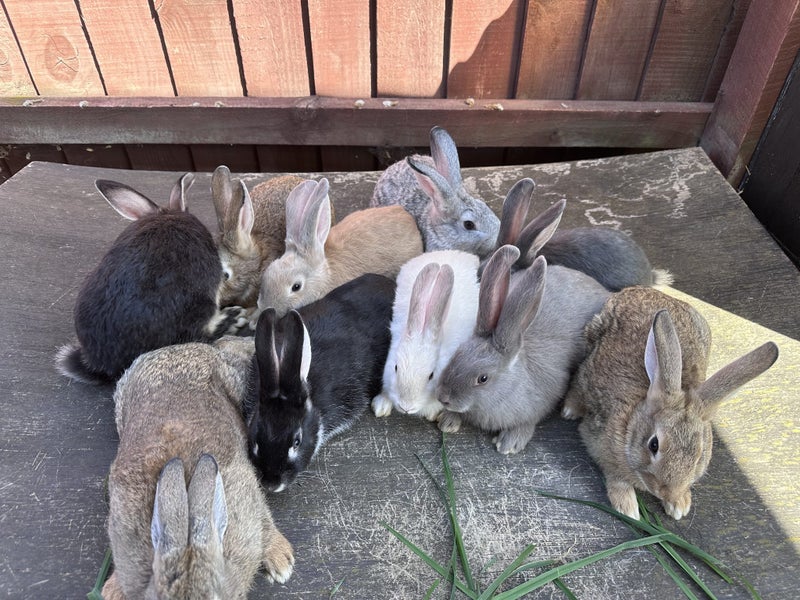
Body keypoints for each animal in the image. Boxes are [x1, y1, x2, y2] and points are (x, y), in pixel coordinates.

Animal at [102, 337, 294, 600]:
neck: (188, 540)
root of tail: (178, 348)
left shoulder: (247, 493)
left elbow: (264, 517)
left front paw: (281, 561)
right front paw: (112, 590)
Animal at [371, 250, 480, 422]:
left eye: (431, 375)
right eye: (396, 367)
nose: (406, 407)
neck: (423, 329)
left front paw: (432, 413)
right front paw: (382, 406)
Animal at [436, 245, 611, 455]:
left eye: (483, 378)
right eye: (456, 354)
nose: (443, 397)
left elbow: (528, 422)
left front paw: (509, 444)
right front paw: (447, 421)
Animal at [561, 285, 779, 520]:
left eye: (699, 455)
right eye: (653, 445)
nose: (668, 492)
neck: (632, 422)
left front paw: (679, 506)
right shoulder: (599, 443)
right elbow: (616, 478)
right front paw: (628, 508)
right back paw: (570, 410)